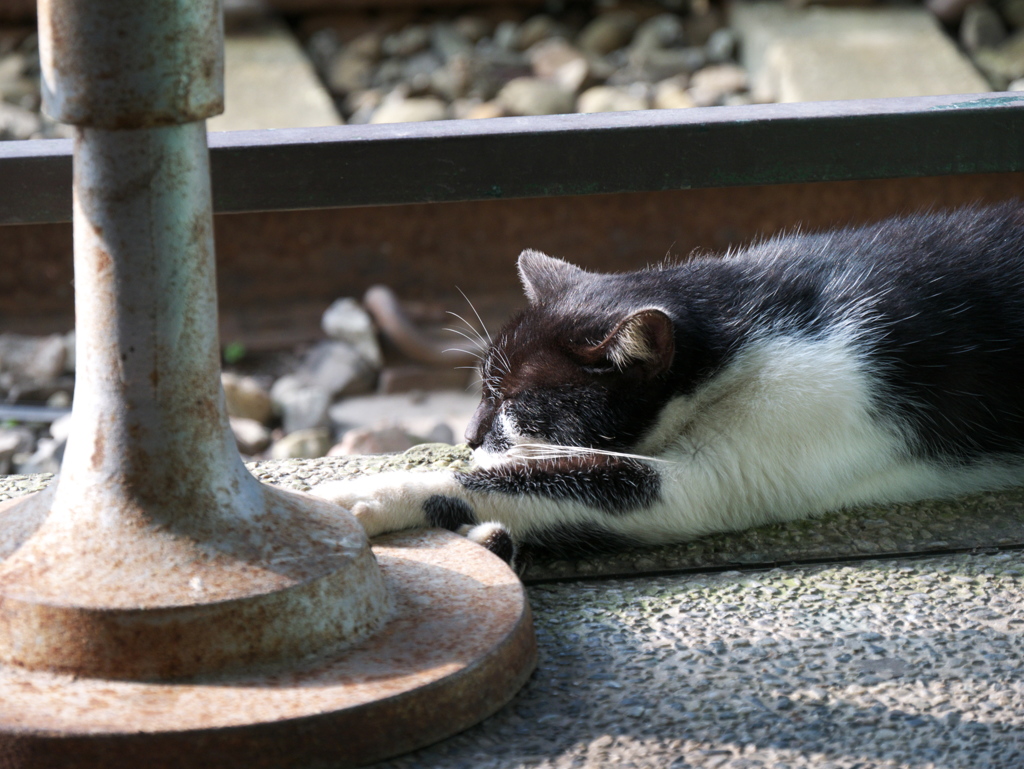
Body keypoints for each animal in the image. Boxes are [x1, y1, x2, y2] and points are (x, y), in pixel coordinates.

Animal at [309, 202, 1024, 565]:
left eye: (512, 401)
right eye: (481, 389)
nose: (469, 433)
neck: (737, 324)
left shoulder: (728, 473)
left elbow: (538, 478)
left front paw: (362, 495)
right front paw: (484, 528)